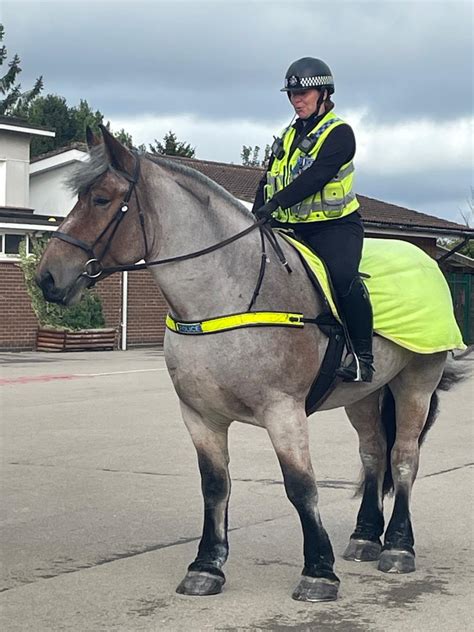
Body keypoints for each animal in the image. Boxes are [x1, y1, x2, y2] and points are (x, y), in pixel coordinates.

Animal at [36, 124, 462, 604]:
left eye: (101, 199)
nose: (47, 277)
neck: (228, 296)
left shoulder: (284, 412)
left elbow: (301, 486)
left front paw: (319, 571)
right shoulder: (199, 416)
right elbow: (214, 485)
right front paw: (206, 566)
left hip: (416, 383)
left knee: (404, 456)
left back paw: (398, 547)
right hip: (364, 395)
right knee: (374, 453)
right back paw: (366, 537)